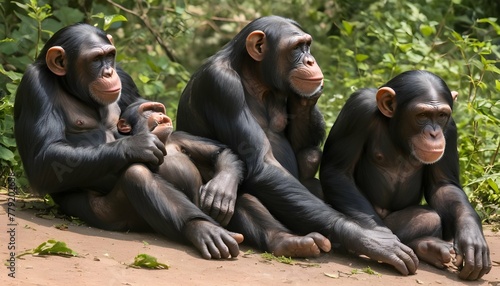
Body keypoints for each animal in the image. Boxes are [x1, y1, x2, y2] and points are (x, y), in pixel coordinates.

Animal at [13, 22, 244, 260]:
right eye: (95, 59)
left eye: (109, 56)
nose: (108, 71)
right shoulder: (34, 85)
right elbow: (44, 159)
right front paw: (137, 146)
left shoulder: (124, 76)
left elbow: (220, 151)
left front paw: (223, 184)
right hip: (107, 215)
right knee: (137, 174)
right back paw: (202, 229)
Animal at [119, 100, 334, 256]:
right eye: (148, 110)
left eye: (158, 108)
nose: (160, 114)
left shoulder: (181, 136)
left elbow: (222, 151)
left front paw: (221, 186)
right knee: (137, 173)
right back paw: (205, 231)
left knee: (236, 196)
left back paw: (287, 241)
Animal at [177, 15, 422, 274]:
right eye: (296, 48)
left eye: (307, 45)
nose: (310, 60)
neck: (255, 77)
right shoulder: (222, 86)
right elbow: (263, 165)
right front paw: (366, 237)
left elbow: (302, 142)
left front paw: (307, 99)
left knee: (310, 154)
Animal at [320, 70, 492, 280]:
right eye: (422, 115)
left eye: (441, 115)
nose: (434, 133)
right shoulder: (358, 110)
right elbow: (338, 172)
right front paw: (382, 242)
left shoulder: (450, 128)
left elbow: (443, 185)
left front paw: (471, 234)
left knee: (428, 217)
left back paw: (429, 247)